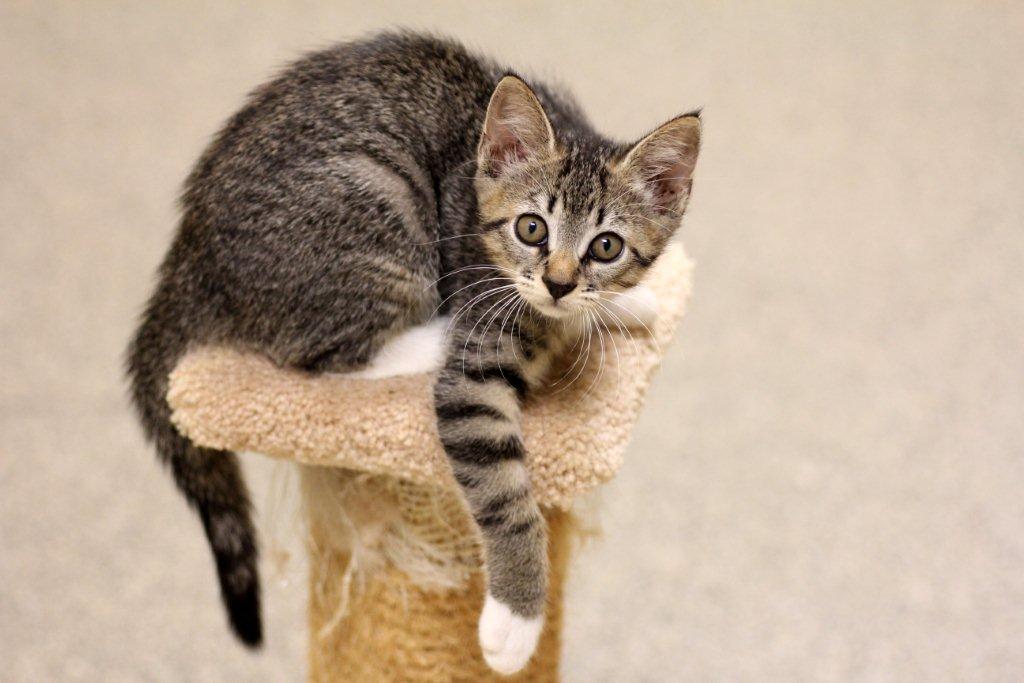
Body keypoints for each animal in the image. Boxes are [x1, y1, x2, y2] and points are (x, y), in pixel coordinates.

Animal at [123, 30, 700, 671]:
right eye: (531, 229)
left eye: (606, 247)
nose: (558, 283)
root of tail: (187, 259)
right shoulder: (475, 368)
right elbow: (502, 487)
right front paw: (517, 618)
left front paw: (627, 304)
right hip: (376, 206)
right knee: (320, 358)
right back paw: (429, 338)